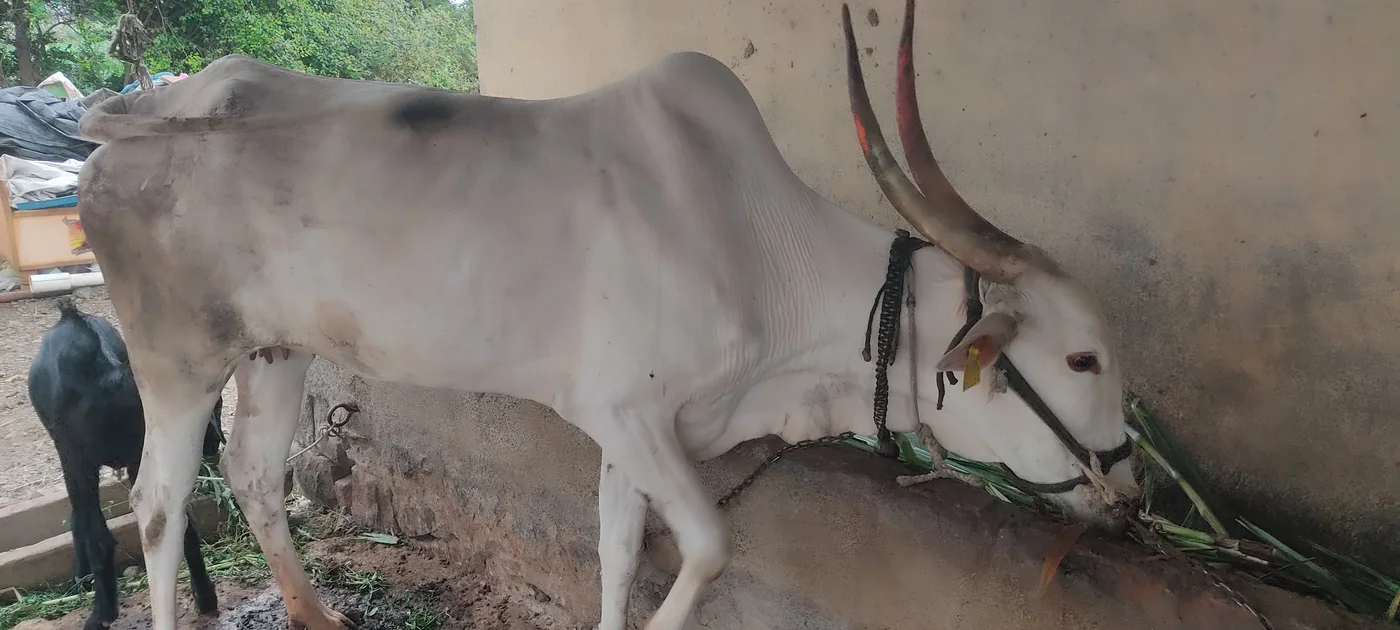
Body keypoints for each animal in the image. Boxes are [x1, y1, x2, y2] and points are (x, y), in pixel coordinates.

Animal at [74, 1, 1139, 628]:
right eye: (1084, 360)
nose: (1131, 495)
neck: (759, 252)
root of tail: (134, 120)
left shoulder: (638, 430)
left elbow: (621, 552)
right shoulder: (625, 412)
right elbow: (706, 548)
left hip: (274, 349)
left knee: (254, 474)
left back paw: (317, 614)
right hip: (174, 360)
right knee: (160, 504)